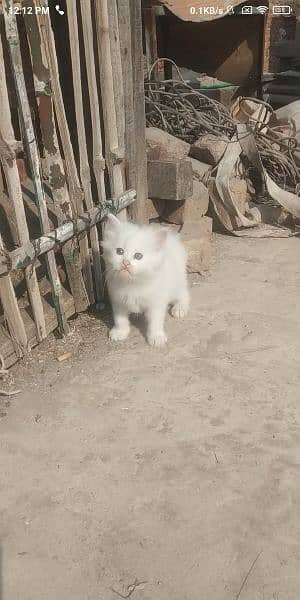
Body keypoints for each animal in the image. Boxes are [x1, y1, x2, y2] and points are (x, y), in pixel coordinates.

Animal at [102, 216, 189, 346]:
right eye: (119, 251)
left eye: (138, 256)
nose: (125, 263)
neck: (133, 283)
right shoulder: (117, 300)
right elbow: (119, 319)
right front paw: (120, 332)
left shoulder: (157, 302)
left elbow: (155, 321)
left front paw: (156, 337)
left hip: (176, 281)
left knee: (184, 293)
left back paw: (180, 308)